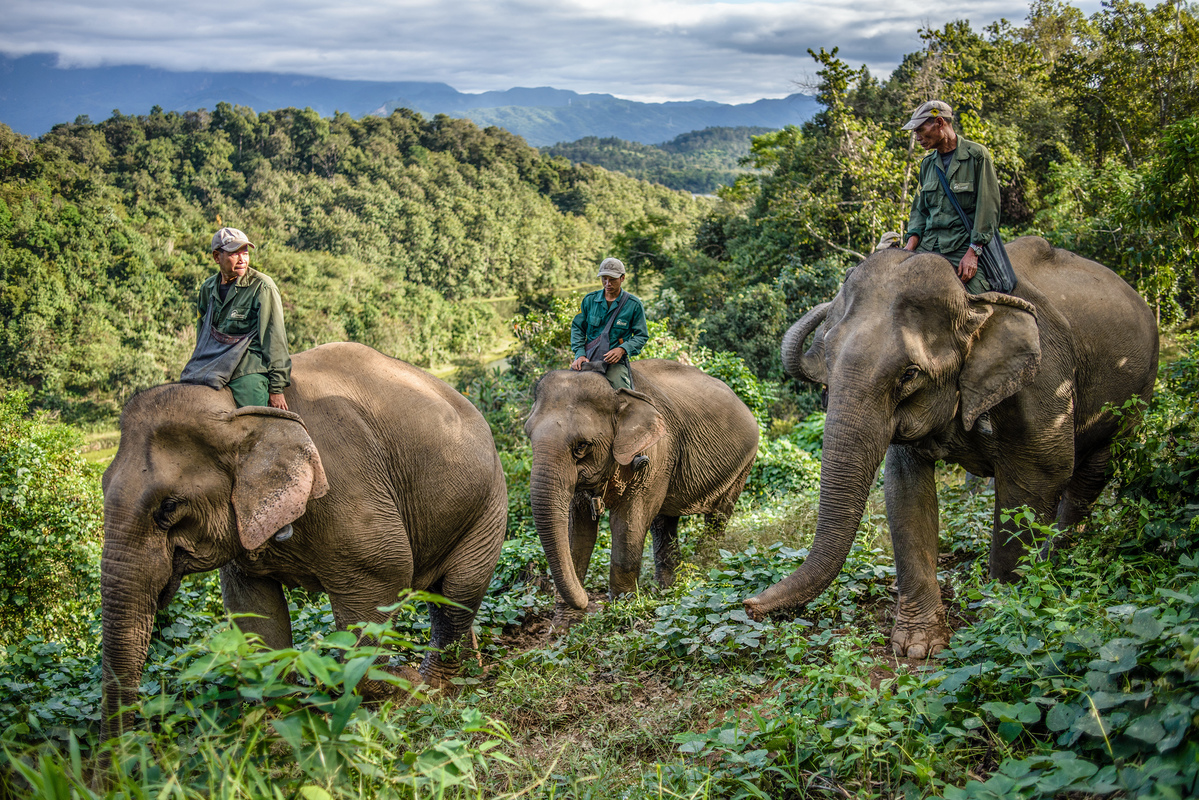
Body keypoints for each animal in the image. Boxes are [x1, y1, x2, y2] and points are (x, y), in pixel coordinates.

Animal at [99, 342, 507, 740]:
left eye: (168, 507)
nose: (121, 756)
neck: (238, 409)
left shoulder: (346, 484)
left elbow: (384, 574)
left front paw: (397, 688)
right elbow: (253, 610)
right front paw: (277, 721)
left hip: (488, 503)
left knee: (457, 591)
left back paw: (437, 686)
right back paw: (469, 671)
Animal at [525, 360, 759, 623]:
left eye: (582, 446)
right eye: (528, 435)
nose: (588, 600)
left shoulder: (656, 452)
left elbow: (627, 522)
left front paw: (621, 613)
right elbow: (578, 531)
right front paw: (565, 624)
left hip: (743, 462)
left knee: (718, 516)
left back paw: (705, 571)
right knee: (664, 522)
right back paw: (667, 589)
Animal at [743, 236, 1159, 658]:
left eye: (909, 374)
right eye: (826, 355)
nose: (749, 605)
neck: (972, 301)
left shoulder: (1043, 381)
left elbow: (1038, 477)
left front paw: (1001, 613)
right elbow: (906, 489)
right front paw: (918, 645)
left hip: (1135, 394)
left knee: (1090, 474)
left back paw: (1056, 562)